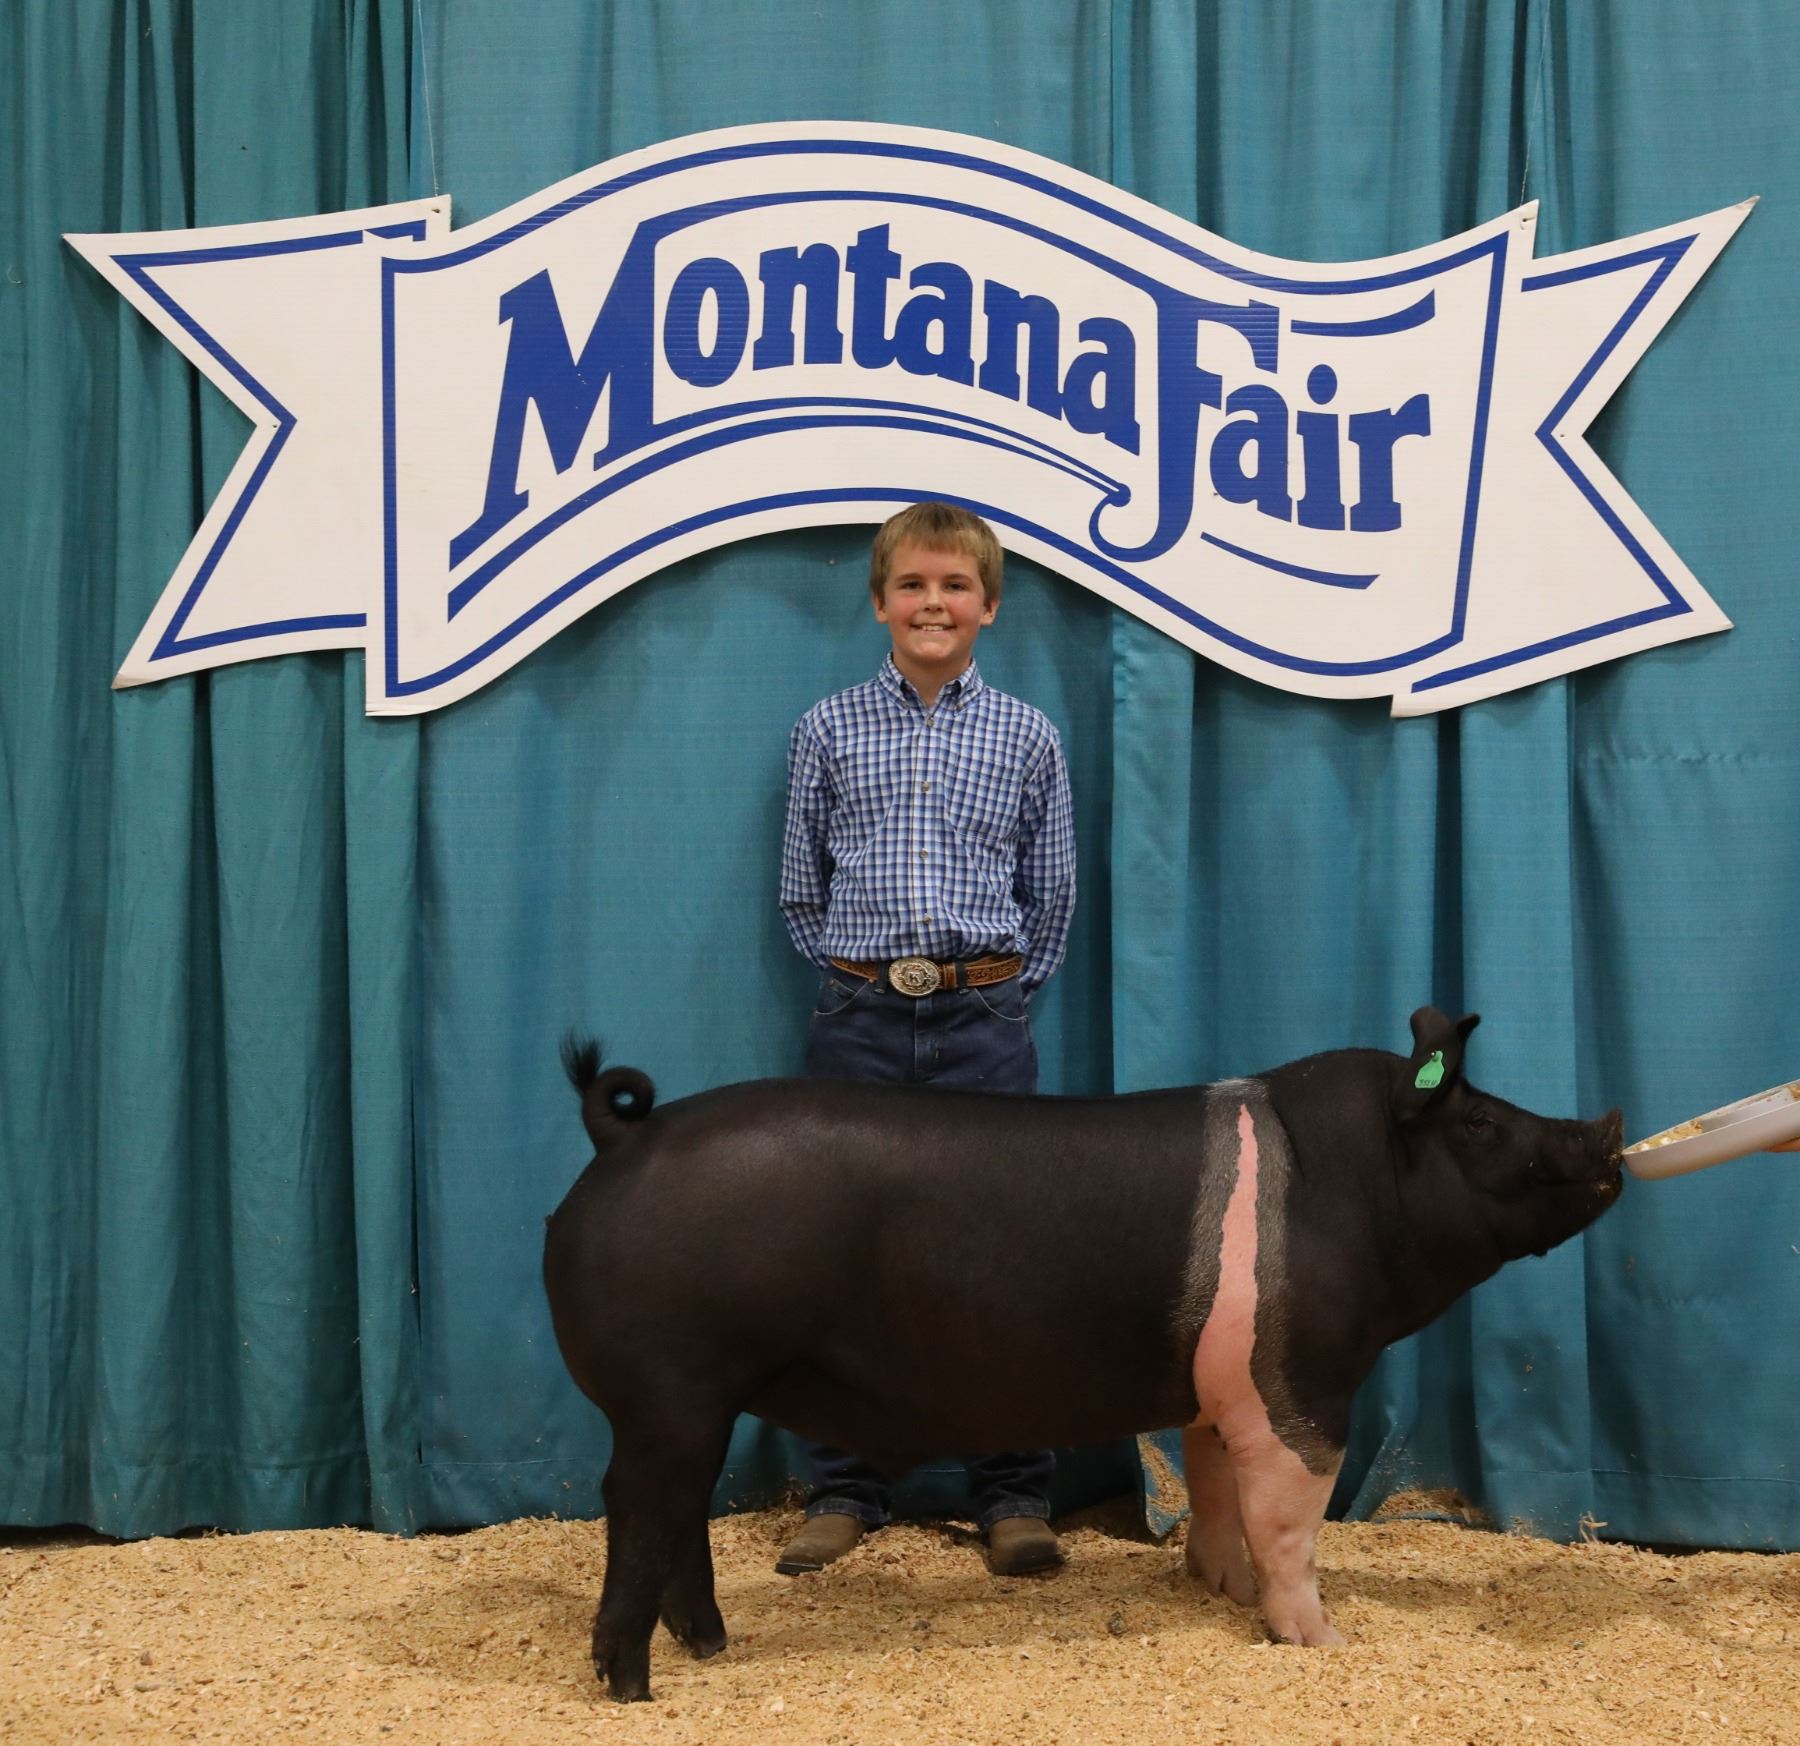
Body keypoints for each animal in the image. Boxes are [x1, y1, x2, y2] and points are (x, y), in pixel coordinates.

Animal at [542, 1007, 1624, 1701]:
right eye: (1480, 1122)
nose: (1607, 1127)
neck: (1354, 1187)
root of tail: (620, 1137)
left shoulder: (1215, 1391)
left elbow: (1218, 1491)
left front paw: (1221, 1592)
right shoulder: (1299, 1382)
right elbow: (1290, 1519)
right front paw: (1322, 1638)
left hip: (692, 1405)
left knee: (677, 1517)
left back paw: (713, 1648)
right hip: (667, 1391)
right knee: (636, 1509)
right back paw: (632, 1690)